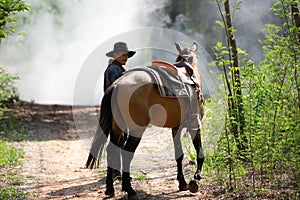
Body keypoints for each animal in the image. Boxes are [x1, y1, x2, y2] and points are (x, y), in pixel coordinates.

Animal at [85, 42, 205, 200]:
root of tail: (117, 85)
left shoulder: (176, 128)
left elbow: (179, 155)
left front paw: (182, 183)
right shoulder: (194, 124)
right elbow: (199, 152)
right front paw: (195, 179)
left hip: (117, 126)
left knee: (111, 150)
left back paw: (110, 189)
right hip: (136, 129)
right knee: (126, 152)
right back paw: (130, 190)